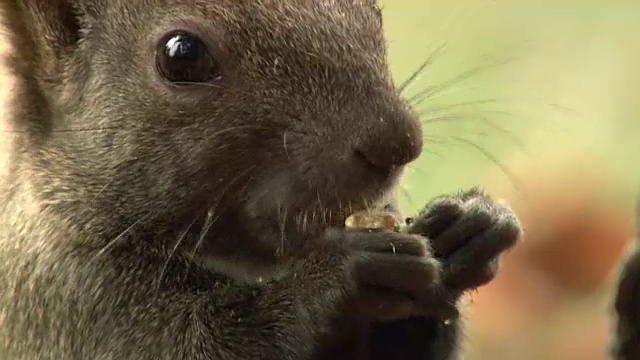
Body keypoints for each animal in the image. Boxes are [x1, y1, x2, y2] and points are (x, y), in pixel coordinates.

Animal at [0, 1, 520, 358]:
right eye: (182, 55)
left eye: (373, 9)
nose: (399, 142)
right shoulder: (68, 306)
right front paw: (342, 275)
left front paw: (471, 224)